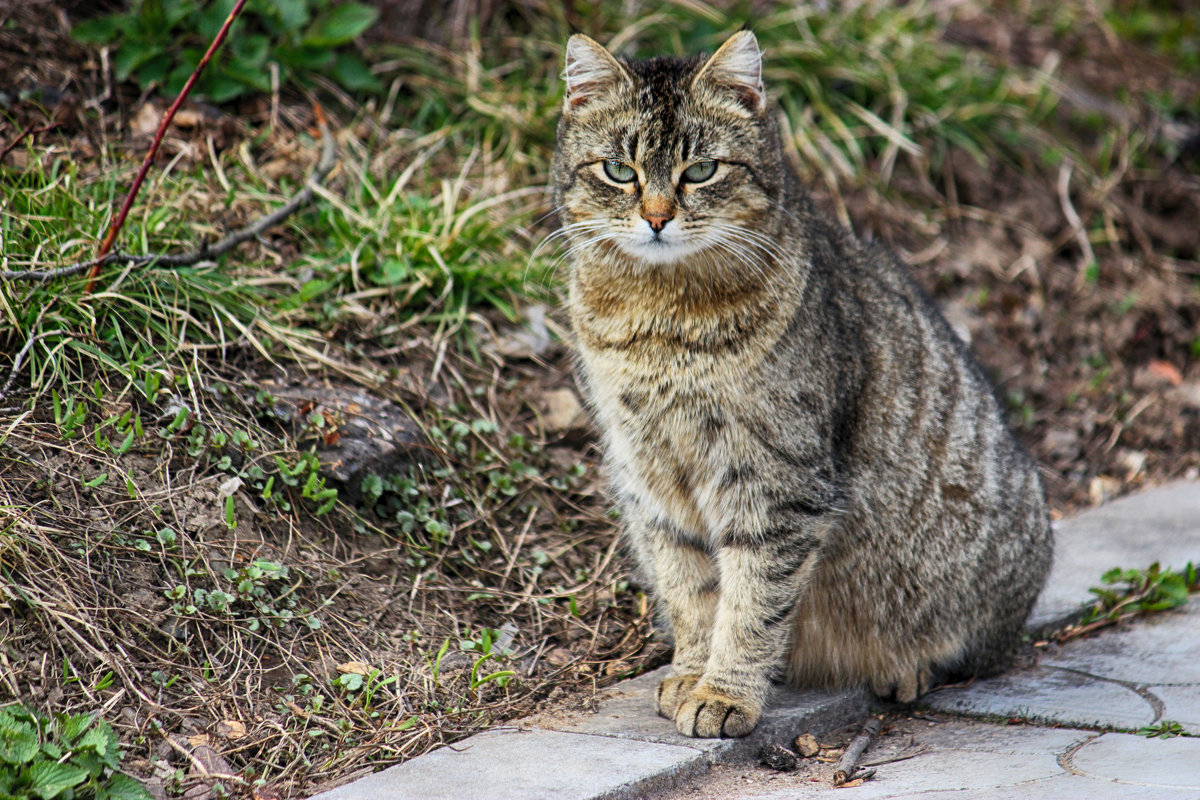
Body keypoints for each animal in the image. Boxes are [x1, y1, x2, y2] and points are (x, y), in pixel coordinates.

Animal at [549, 32, 1051, 743]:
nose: (656, 218)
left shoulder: (775, 483)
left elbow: (751, 602)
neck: (660, 320)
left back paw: (908, 668)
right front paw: (692, 672)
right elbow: (691, 593)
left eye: (701, 171)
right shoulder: (651, 480)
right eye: (620, 171)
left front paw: (724, 692)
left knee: (974, 651)